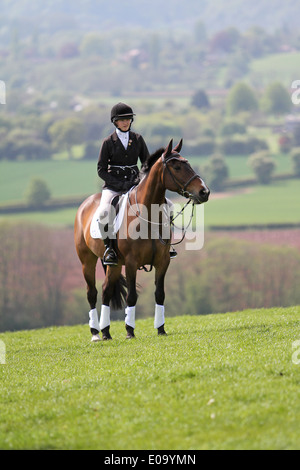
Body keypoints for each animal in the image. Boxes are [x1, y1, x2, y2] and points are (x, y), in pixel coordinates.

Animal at [74, 140, 210, 342]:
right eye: (177, 167)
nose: (204, 192)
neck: (148, 212)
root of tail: (85, 204)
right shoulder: (131, 262)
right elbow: (131, 296)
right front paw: (130, 331)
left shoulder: (163, 260)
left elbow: (160, 294)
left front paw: (161, 329)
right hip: (87, 261)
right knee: (92, 293)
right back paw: (96, 334)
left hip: (114, 265)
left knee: (106, 290)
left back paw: (106, 332)